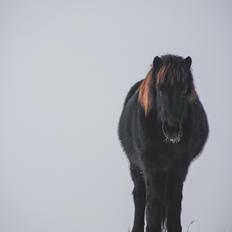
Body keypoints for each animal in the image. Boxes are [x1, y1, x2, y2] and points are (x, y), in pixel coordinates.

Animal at [118, 55, 208, 232]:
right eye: (160, 90)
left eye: (183, 90)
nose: (172, 129)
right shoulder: (151, 167)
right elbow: (154, 202)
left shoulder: (179, 167)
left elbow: (174, 201)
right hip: (135, 166)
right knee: (139, 196)